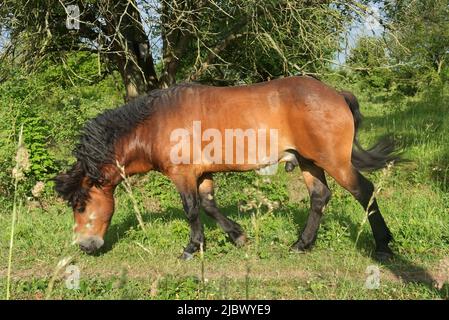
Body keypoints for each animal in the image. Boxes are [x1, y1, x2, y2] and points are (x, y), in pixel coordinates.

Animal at [54, 77, 398, 260]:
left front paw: (192, 248)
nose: (85, 246)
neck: (153, 123)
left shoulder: (183, 175)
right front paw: (238, 236)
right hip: (309, 162)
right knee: (319, 197)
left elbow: (192, 209)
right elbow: (209, 205)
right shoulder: (202, 174)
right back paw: (302, 244)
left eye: (80, 205)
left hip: (333, 161)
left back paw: (383, 246)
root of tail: (335, 93)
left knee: (364, 191)